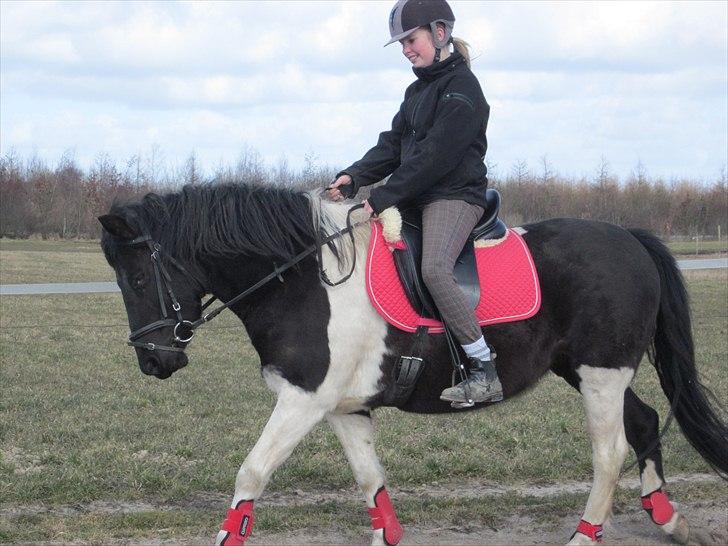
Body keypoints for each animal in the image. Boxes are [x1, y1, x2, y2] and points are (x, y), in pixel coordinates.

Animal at [98, 182, 727, 546]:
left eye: (137, 277)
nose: (153, 360)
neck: (305, 280)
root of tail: (630, 238)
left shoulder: (303, 400)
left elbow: (251, 475)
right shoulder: (342, 408)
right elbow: (370, 480)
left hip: (600, 375)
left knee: (608, 453)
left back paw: (586, 535)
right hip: (589, 371)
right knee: (644, 422)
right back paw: (669, 519)